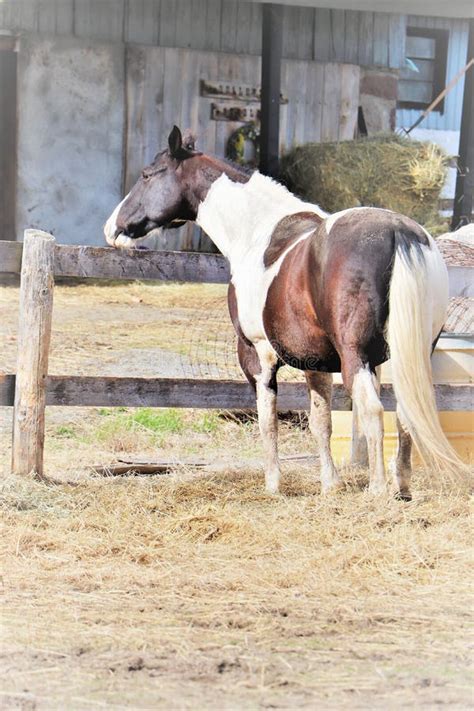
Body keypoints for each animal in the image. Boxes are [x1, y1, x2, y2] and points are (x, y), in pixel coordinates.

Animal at [103, 125, 462, 498]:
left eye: (147, 175)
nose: (112, 228)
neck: (257, 234)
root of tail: (399, 232)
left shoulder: (256, 355)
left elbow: (267, 421)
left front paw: (274, 483)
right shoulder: (316, 363)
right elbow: (321, 423)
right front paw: (330, 484)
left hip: (356, 357)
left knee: (373, 411)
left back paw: (377, 489)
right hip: (411, 355)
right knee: (406, 413)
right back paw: (402, 487)